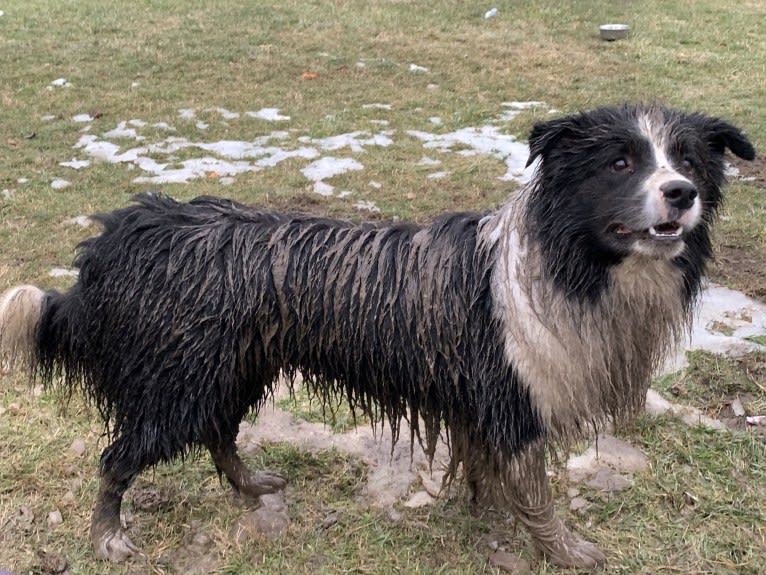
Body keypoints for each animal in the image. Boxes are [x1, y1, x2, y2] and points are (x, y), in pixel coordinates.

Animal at [0, 103, 756, 568]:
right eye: (620, 163)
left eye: (689, 159)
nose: (681, 192)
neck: (568, 259)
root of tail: (126, 232)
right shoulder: (512, 402)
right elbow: (536, 494)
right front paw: (565, 551)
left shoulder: (482, 408)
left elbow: (490, 480)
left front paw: (490, 526)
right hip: (176, 382)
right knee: (118, 459)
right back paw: (108, 537)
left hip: (229, 368)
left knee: (218, 432)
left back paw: (251, 486)